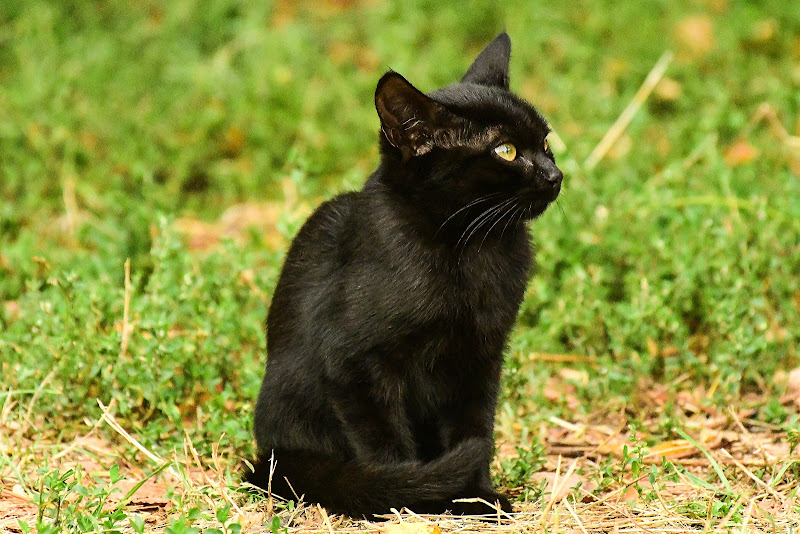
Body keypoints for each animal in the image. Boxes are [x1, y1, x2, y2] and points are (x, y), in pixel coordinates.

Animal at [245, 33, 564, 520]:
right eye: (505, 151)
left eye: (545, 142)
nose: (555, 174)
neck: (469, 248)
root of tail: (273, 452)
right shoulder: (353, 362)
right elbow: (386, 443)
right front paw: (407, 496)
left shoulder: (481, 355)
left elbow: (473, 426)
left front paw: (476, 497)